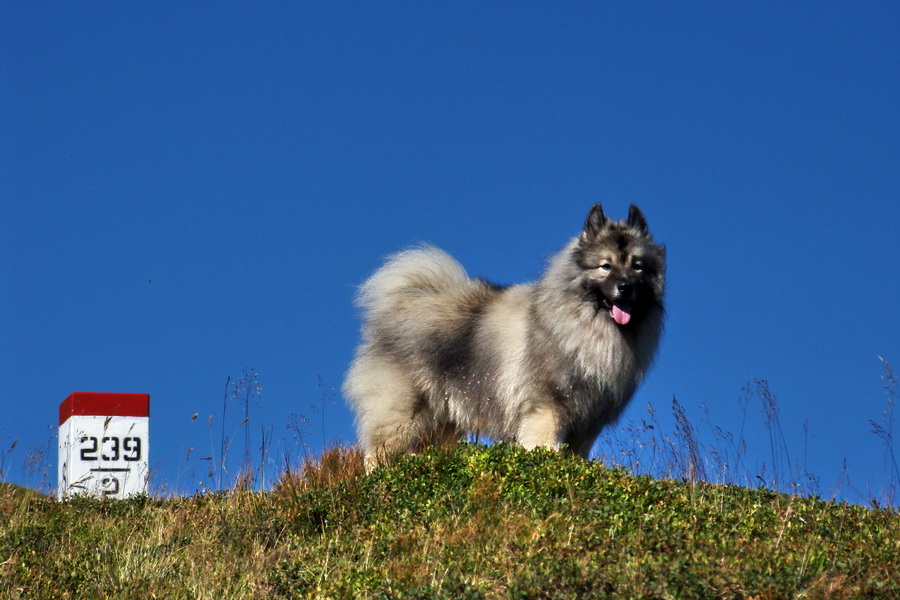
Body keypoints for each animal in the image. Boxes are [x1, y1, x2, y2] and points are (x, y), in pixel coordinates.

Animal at [344, 204, 668, 466]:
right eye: (605, 266)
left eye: (637, 266)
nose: (625, 287)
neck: (582, 325)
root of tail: (404, 303)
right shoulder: (546, 409)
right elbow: (544, 447)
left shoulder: (586, 425)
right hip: (402, 414)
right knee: (377, 454)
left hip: (443, 423)